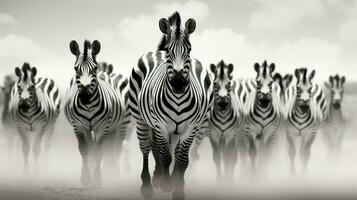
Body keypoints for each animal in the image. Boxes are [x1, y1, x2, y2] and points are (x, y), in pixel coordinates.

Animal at [64, 40, 130, 186]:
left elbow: (100, 150)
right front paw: (85, 177)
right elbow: (84, 148)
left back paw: (112, 171)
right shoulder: (78, 126)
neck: (89, 106)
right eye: (76, 69)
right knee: (92, 146)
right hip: (90, 128)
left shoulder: (103, 126)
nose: (84, 96)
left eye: (94, 69)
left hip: (117, 125)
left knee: (113, 146)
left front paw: (97, 178)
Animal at [128, 11, 211, 199]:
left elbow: (182, 159)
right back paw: (148, 184)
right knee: (146, 148)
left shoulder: (191, 128)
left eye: (189, 50)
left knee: (170, 150)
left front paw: (178, 187)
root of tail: (155, 51)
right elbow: (165, 156)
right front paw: (166, 184)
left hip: (177, 129)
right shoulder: (160, 125)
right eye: (169, 51)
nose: (179, 83)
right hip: (141, 119)